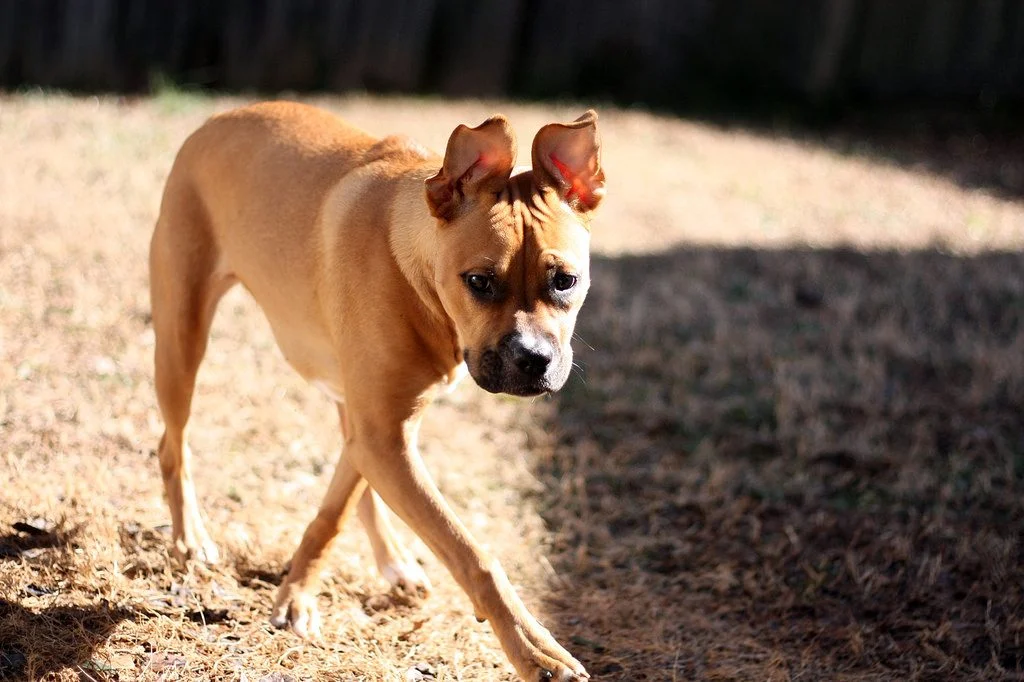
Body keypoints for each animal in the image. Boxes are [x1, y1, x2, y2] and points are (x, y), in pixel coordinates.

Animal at [148, 102, 602, 679]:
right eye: (479, 282)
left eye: (565, 281)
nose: (533, 359)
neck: (407, 261)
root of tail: (216, 117)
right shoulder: (382, 435)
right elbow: (472, 554)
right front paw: (534, 650)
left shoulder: (384, 431)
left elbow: (336, 510)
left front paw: (296, 594)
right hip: (181, 338)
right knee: (172, 446)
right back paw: (190, 538)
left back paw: (395, 564)